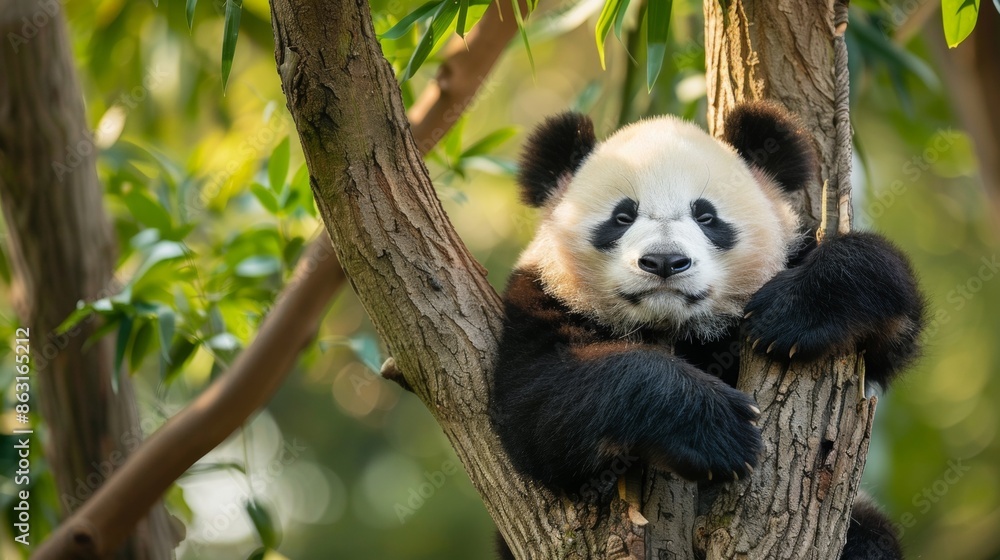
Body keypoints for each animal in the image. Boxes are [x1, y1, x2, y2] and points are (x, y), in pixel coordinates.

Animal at [488, 101, 924, 560]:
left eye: (706, 215)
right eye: (622, 216)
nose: (664, 261)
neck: (676, 327)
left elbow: (888, 313)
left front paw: (789, 316)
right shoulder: (539, 301)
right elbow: (539, 407)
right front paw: (718, 430)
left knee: (872, 535)